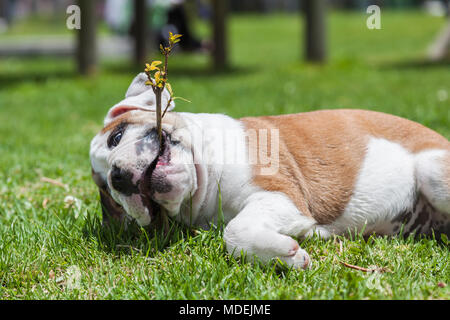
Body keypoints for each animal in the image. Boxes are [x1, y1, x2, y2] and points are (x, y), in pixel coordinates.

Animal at [89, 73, 450, 270]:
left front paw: (284, 254)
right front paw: (281, 256)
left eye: (116, 136)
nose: (118, 177)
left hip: (433, 172)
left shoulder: (281, 196)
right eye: (110, 194)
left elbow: (234, 231)